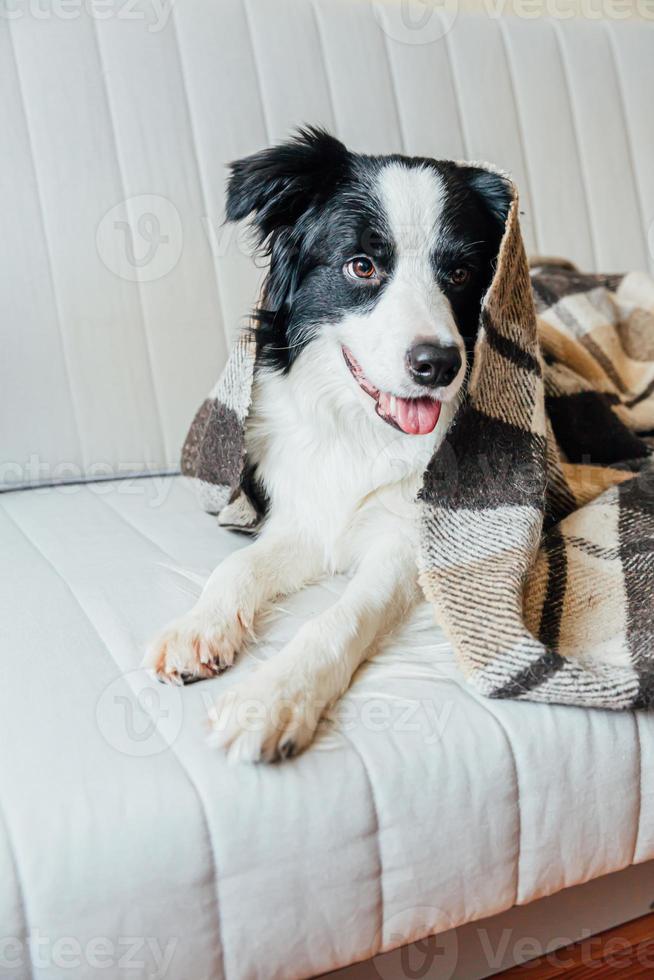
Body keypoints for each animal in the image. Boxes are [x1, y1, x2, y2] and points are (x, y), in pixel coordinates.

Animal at [149, 126, 512, 760]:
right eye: (362, 265)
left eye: (462, 274)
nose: (439, 365)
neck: (360, 429)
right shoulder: (308, 515)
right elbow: (237, 567)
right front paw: (199, 627)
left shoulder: (405, 543)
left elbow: (340, 617)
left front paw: (272, 697)